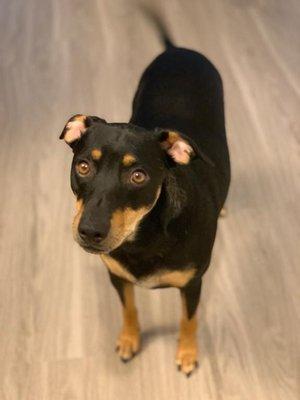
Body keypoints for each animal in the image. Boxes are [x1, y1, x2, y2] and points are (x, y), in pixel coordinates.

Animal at [59, 16, 231, 378]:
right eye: (83, 166)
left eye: (138, 176)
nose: (90, 232)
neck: (144, 234)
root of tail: (178, 50)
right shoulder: (116, 275)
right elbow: (129, 308)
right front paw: (128, 340)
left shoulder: (193, 283)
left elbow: (188, 320)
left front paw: (187, 354)